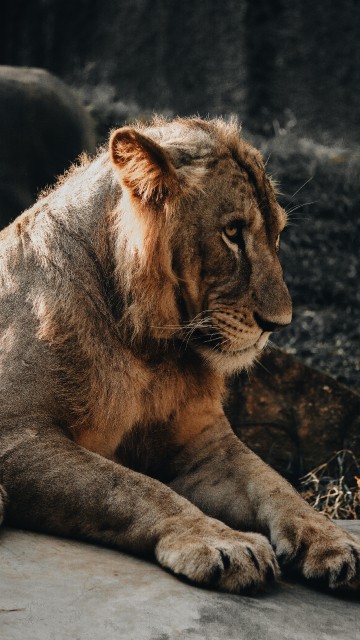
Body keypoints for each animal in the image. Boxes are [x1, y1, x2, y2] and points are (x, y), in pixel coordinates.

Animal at [0, 117, 358, 592]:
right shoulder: (17, 435)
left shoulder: (204, 443)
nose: (278, 324)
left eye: (277, 234)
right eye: (232, 233)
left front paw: (332, 541)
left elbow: (276, 484)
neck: (146, 348)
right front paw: (223, 543)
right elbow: (132, 487)